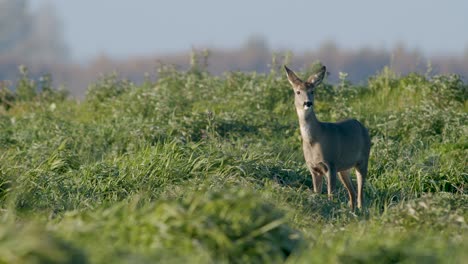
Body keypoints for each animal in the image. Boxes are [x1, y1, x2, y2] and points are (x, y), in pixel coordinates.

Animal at [284, 65, 372, 209]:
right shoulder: (313, 168)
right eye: (298, 92)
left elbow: (331, 194)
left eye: (312, 91)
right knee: (352, 192)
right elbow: (317, 192)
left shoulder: (331, 163)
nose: (308, 103)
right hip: (344, 168)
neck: (314, 140)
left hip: (363, 160)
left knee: (360, 194)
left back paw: (360, 209)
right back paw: (352, 210)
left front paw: (331, 207)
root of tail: (362, 126)